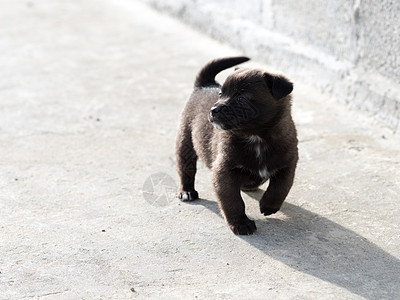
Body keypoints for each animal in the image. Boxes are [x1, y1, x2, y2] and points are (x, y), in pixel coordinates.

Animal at [175, 56, 296, 234]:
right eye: (221, 94)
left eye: (241, 98)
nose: (213, 110)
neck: (256, 137)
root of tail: (205, 85)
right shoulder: (224, 172)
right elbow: (233, 201)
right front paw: (241, 224)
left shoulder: (287, 164)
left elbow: (281, 187)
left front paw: (268, 206)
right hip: (185, 142)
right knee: (186, 169)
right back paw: (187, 191)